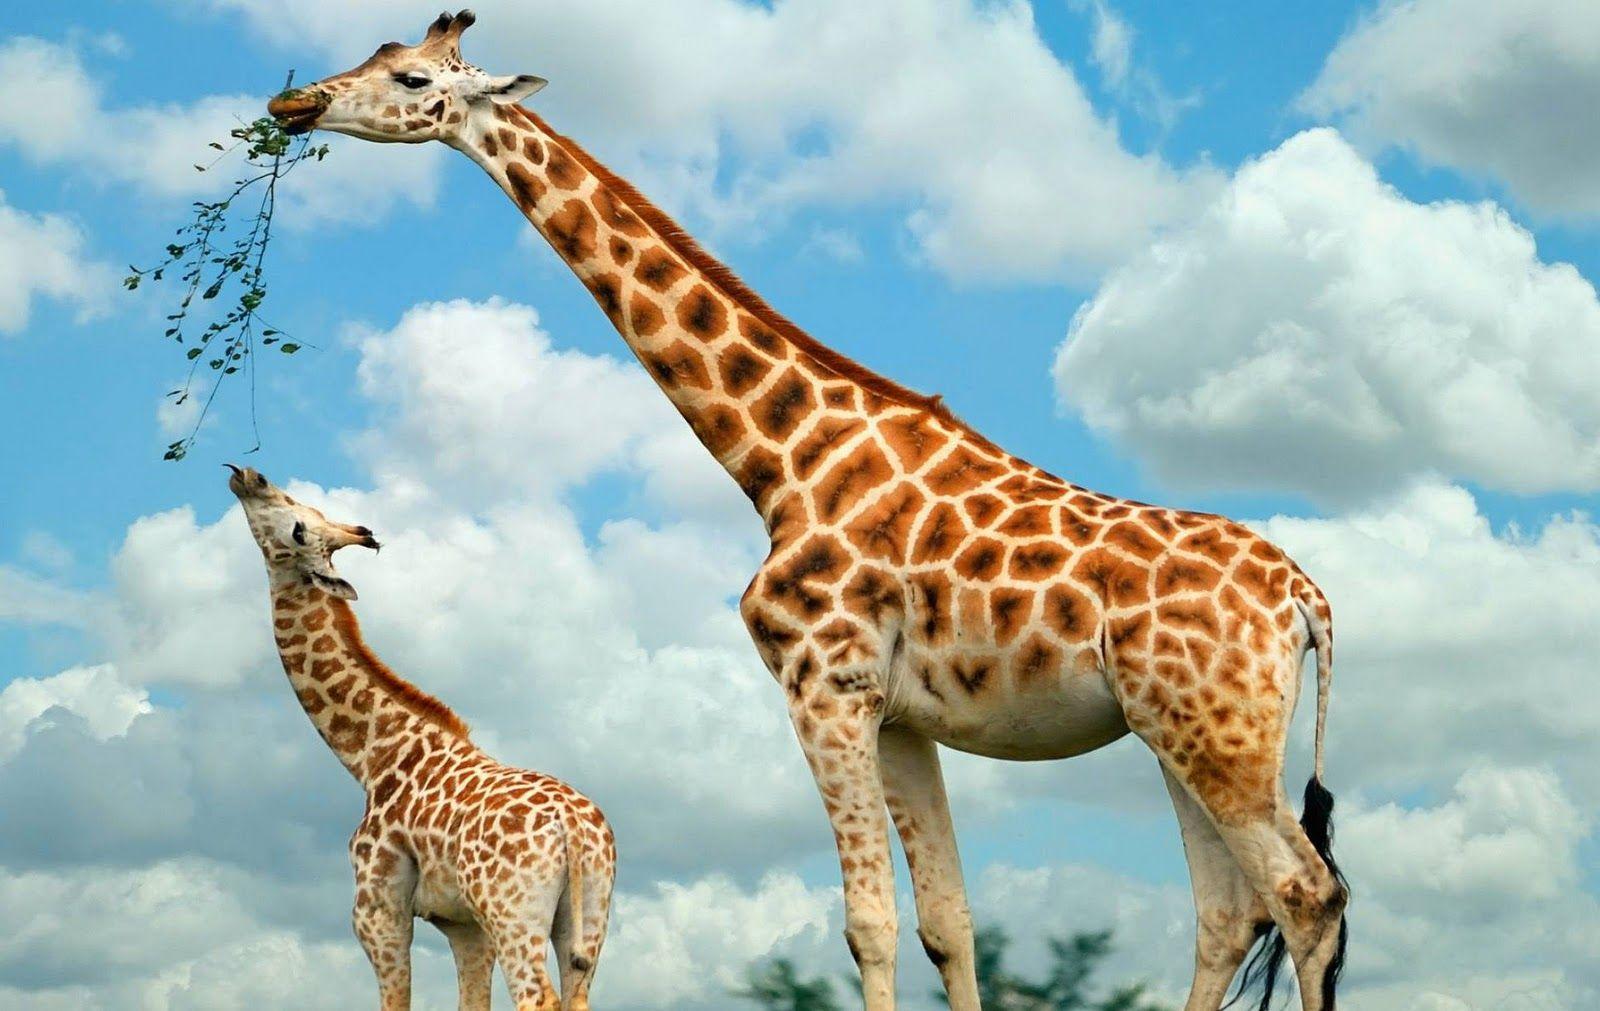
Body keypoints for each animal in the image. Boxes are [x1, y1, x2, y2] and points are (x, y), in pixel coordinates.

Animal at [228, 464, 615, 1011]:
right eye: (307, 510)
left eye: (299, 527)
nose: (249, 475)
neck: (373, 757)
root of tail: (574, 829)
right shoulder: (464, 925)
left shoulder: (378, 912)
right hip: (588, 917)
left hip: (513, 913)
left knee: (538, 997)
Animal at [267, 12, 1349, 1009]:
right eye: (374, 52)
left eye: (412, 77)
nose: (293, 103)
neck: (779, 462)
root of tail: (1307, 601)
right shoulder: (900, 715)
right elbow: (948, 921)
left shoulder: (822, 686)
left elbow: (868, 923)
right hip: (1179, 733)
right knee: (1228, 909)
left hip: (1216, 737)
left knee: (1305, 893)